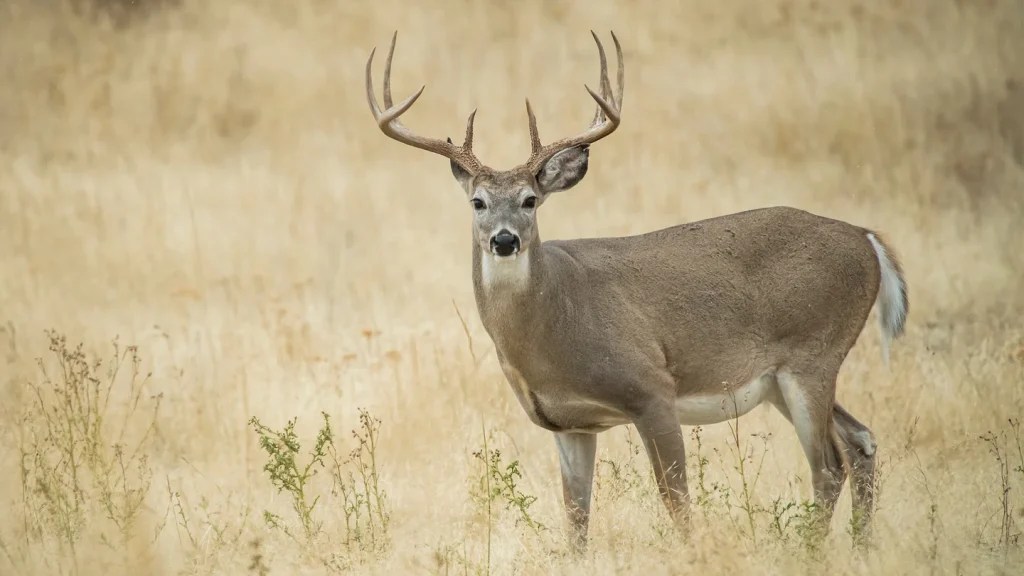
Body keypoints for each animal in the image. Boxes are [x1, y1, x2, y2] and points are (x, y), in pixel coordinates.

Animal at [365, 31, 908, 550]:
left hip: (812, 352)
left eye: (529, 200)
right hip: (783, 379)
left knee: (829, 466)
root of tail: (867, 238)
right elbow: (576, 520)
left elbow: (677, 501)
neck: (552, 328)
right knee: (862, 442)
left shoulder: (651, 387)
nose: (504, 239)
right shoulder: (570, 423)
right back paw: (861, 549)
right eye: (477, 201)